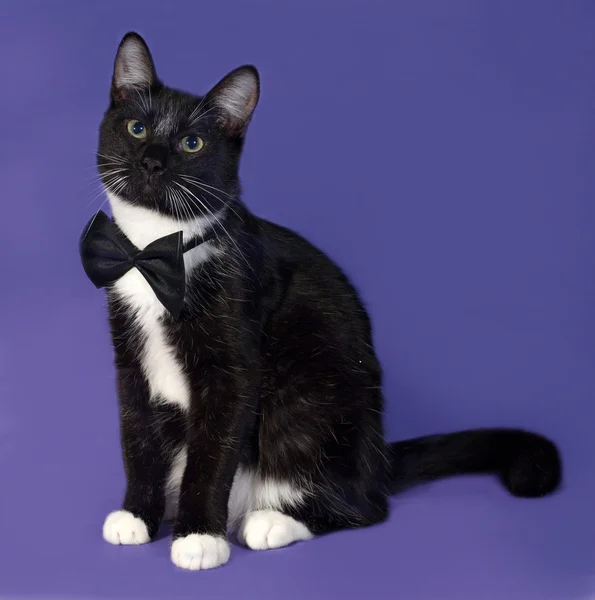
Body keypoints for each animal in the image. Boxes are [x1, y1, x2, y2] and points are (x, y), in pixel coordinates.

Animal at [89, 32, 564, 572]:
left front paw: (198, 537)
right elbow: (137, 438)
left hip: (310, 399)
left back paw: (272, 521)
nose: (151, 161)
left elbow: (213, 451)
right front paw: (137, 516)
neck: (155, 249)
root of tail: (379, 461)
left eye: (192, 143)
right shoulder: (130, 360)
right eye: (137, 128)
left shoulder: (234, 362)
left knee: (364, 506)